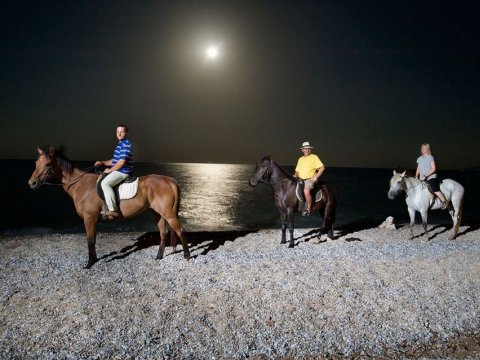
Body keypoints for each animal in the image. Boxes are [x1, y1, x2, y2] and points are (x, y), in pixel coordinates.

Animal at [28, 146, 191, 268]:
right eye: (36, 164)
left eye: (47, 165)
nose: (32, 183)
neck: (81, 185)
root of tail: (170, 180)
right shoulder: (92, 219)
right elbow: (93, 239)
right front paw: (94, 260)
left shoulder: (89, 218)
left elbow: (90, 240)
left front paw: (89, 263)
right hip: (158, 213)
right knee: (163, 234)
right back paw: (159, 256)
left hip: (169, 214)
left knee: (180, 231)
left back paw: (187, 255)